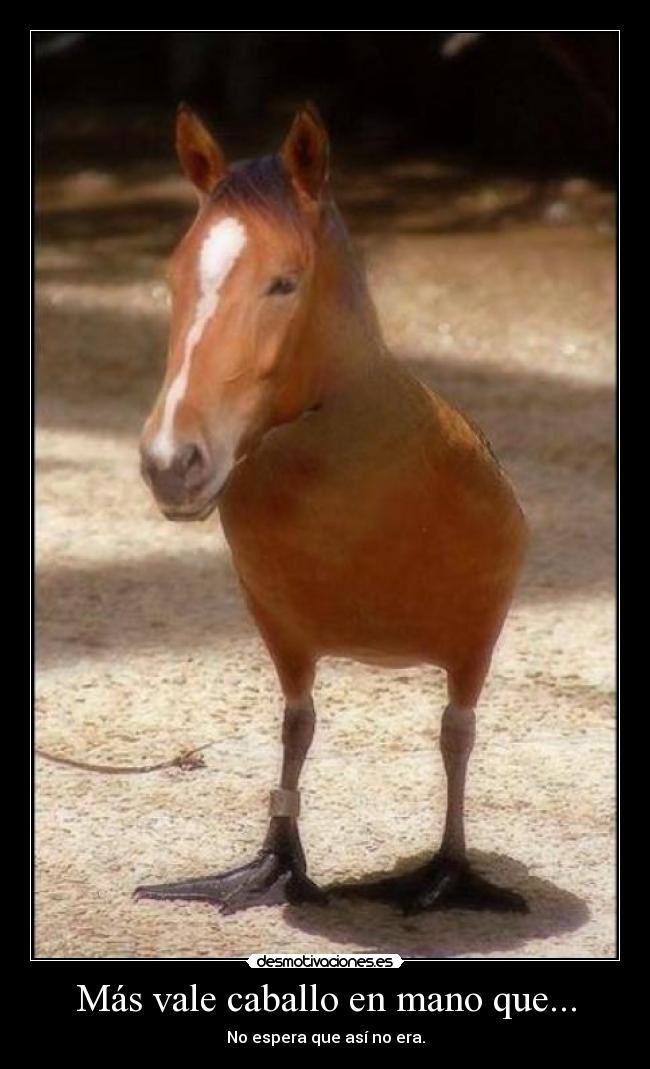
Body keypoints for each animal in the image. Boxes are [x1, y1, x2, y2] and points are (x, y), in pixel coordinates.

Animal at [136, 103, 529, 914]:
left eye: (284, 282)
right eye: (173, 278)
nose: (170, 461)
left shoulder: (475, 634)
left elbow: (456, 733)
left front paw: (447, 875)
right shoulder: (282, 629)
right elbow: (297, 725)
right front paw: (273, 865)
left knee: (457, 734)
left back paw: (446, 874)